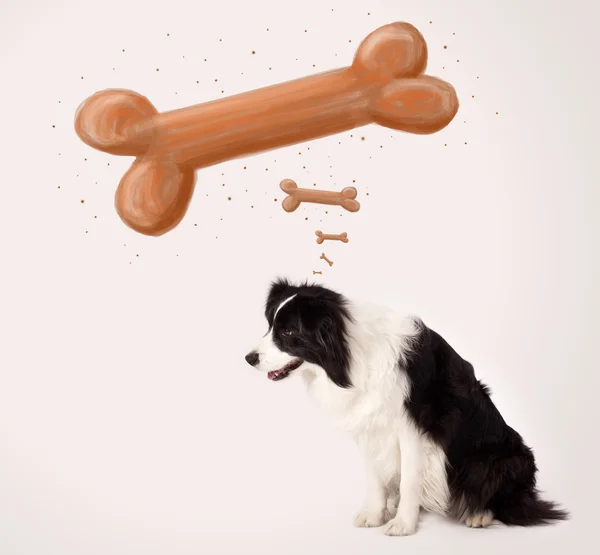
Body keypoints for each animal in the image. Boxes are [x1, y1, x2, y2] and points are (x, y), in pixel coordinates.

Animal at [244, 280, 568, 536]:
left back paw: (478, 514)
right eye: (270, 326)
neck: (350, 354)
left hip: (498, 459)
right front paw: (375, 515)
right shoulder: (369, 423)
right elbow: (375, 477)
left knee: (503, 498)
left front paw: (403, 524)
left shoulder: (413, 429)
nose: (249, 358)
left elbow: (411, 479)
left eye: (288, 332)